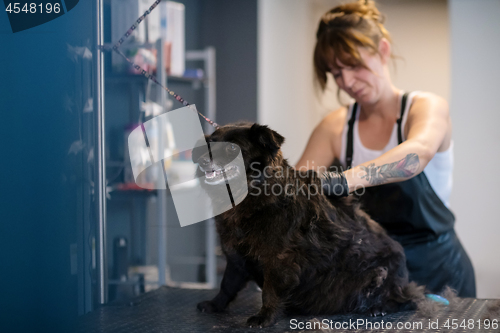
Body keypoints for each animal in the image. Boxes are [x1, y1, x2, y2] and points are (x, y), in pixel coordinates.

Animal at [193, 122, 424, 326]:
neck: (252, 195)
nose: (202, 162)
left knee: (409, 301)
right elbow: (227, 284)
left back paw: (379, 307)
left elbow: (269, 291)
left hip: (381, 274)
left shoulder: (279, 259)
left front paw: (265, 317)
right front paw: (215, 304)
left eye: (232, 147)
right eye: (209, 144)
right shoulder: (236, 255)